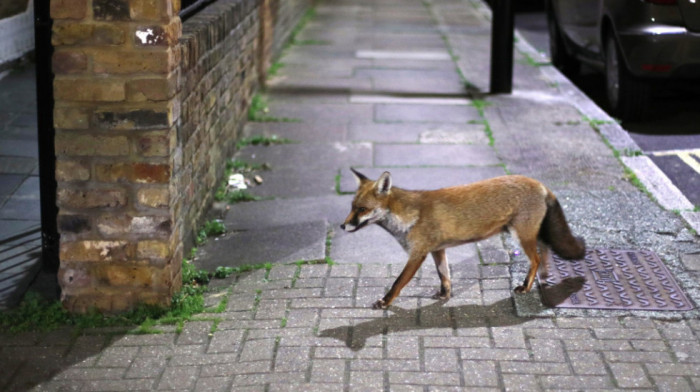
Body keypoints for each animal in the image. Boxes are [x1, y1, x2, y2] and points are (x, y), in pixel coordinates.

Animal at [340, 168, 584, 310]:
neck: (408, 216)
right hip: (530, 234)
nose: (342, 225)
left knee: (536, 258)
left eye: (362, 209)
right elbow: (444, 276)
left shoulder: (417, 254)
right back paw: (544, 278)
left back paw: (526, 286)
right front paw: (444, 295)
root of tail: (540, 184)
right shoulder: (437, 250)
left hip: (521, 236)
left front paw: (385, 302)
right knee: (545, 252)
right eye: (351, 207)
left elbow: (397, 282)